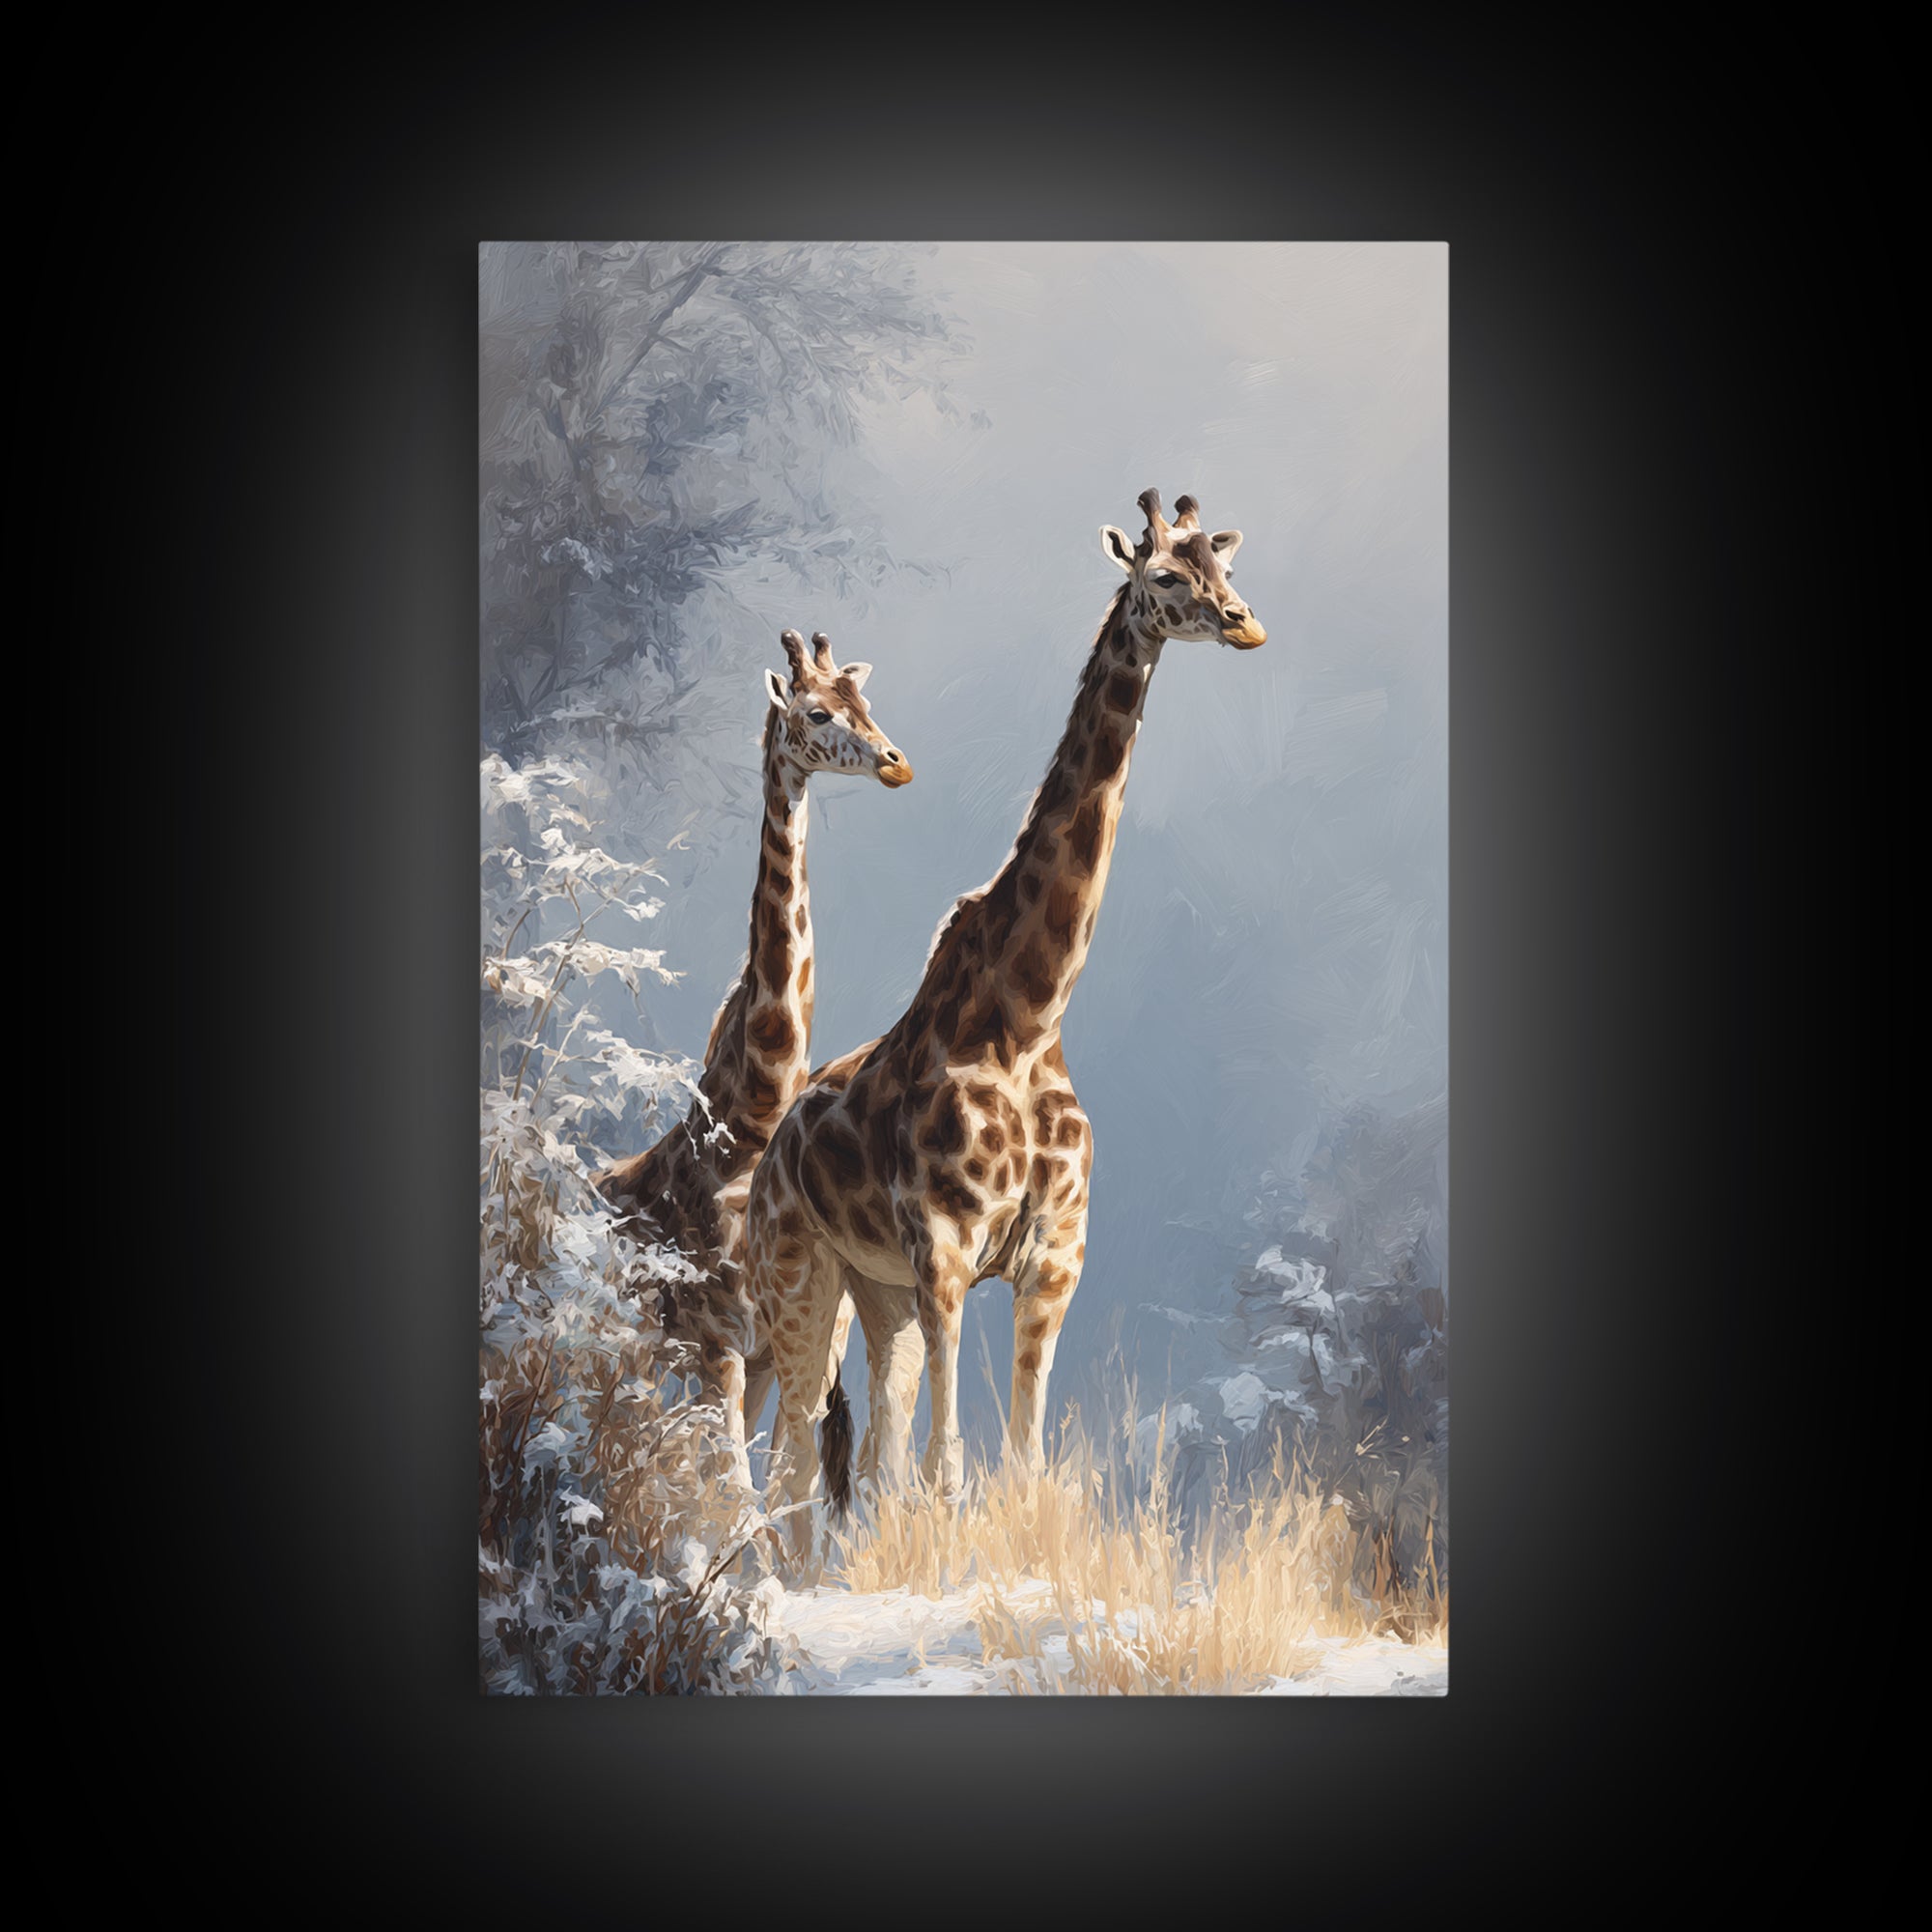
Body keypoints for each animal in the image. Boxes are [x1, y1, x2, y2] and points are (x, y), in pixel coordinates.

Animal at [594, 628, 911, 1484]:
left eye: (867, 700)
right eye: (816, 711)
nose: (895, 761)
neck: (749, 1123)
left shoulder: (793, 1343)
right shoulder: (718, 1346)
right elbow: (736, 1489)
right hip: (630, 1348)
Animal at [744, 489, 1266, 1543]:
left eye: (1225, 567)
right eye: (1163, 575)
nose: (1244, 624)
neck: (1024, 1016)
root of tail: (774, 1148)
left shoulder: (1050, 1263)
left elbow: (1017, 1465)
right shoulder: (945, 1253)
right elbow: (947, 1468)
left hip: (880, 1297)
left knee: (861, 1457)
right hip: (801, 1278)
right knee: (790, 1463)